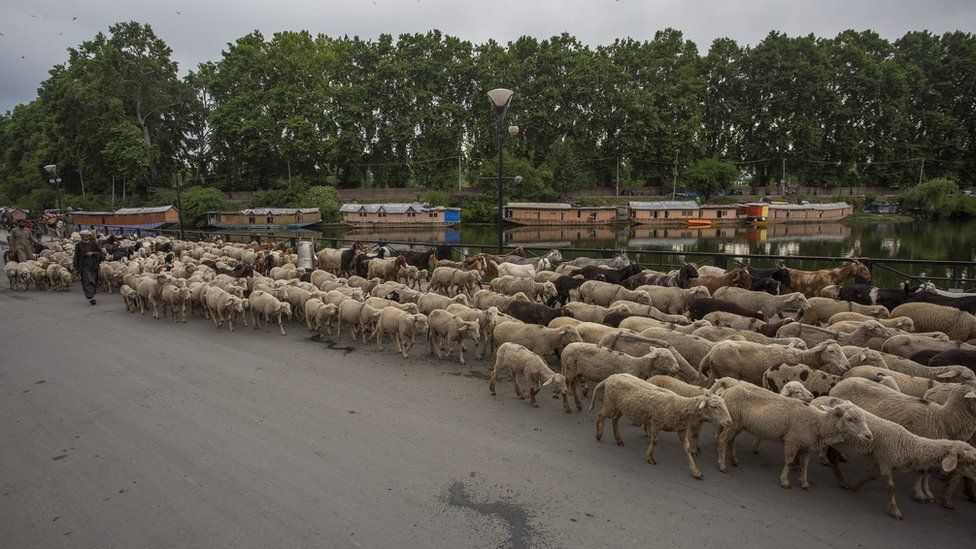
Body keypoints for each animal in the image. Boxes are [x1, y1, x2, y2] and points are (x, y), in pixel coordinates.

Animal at [588, 370, 732, 478]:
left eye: (724, 404)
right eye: (713, 406)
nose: (729, 421)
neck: (678, 406)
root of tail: (610, 377)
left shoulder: (681, 429)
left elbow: (687, 450)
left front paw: (695, 471)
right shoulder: (656, 422)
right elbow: (654, 441)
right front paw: (650, 457)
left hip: (621, 407)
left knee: (614, 420)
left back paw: (619, 440)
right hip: (610, 402)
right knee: (601, 415)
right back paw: (599, 434)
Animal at [696, 338, 852, 386]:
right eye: (831, 351)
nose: (847, 366)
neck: (802, 357)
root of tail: (712, 351)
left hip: (716, 371)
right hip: (729, 371)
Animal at [712, 382, 872, 488]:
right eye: (850, 418)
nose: (869, 436)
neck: (818, 423)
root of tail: (727, 391)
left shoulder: (807, 445)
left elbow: (805, 465)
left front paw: (804, 483)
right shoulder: (793, 440)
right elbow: (789, 462)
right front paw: (784, 481)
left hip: (738, 424)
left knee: (731, 440)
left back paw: (734, 460)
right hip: (733, 421)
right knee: (723, 439)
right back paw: (722, 465)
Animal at [816, 394, 976, 520]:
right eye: (970, 461)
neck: (909, 443)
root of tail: (821, 398)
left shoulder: (882, 460)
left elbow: (872, 476)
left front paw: (856, 484)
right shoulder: (886, 461)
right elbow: (891, 487)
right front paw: (894, 510)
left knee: (833, 457)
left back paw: (841, 479)